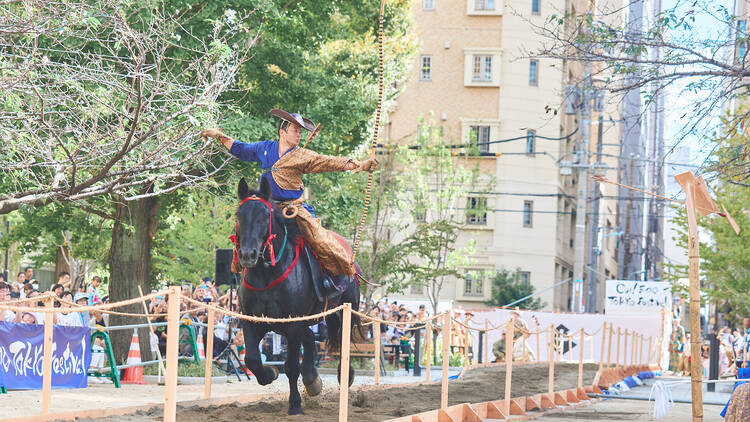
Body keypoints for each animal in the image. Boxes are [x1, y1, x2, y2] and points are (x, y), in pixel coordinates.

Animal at [235, 178, 364, 416]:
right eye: (239, 214)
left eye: (264, 215)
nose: (248, 255)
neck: (267, 274)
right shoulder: (251, 320)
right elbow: (252, 359)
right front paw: (269, 374)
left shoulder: (293, 324)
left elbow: (291, 367)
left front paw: (295, 404)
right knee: (310, 338)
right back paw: (312, 379)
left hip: (345, 311)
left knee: (343, 339)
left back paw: (344, 375)